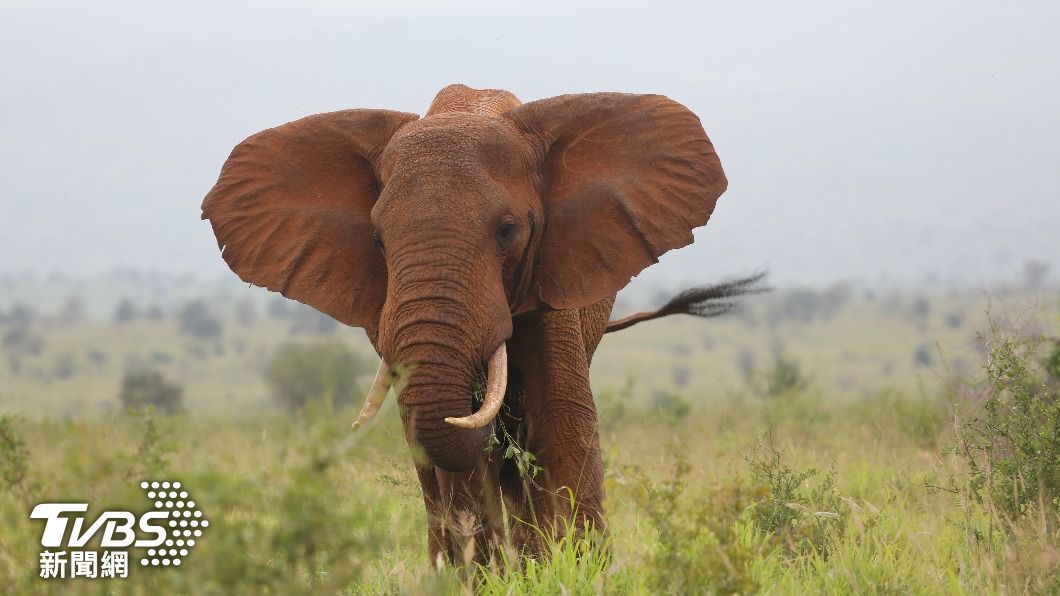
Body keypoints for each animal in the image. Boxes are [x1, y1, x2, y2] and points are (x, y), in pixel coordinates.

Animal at [201, 84, 759, 565]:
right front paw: (488, 576)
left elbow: (563, 421)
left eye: (508, 231)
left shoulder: (554, 272)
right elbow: (460, 452)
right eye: (378, 242)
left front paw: (579, 571)